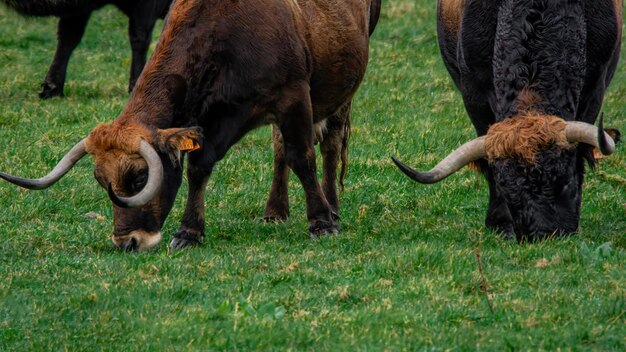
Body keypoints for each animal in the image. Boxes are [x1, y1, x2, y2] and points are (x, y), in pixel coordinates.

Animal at [392, 0, 616, 241]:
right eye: (508, 192)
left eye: (565, 183)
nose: (543, 235)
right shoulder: (474, 94)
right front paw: (501, 224)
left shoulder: (595, 87)